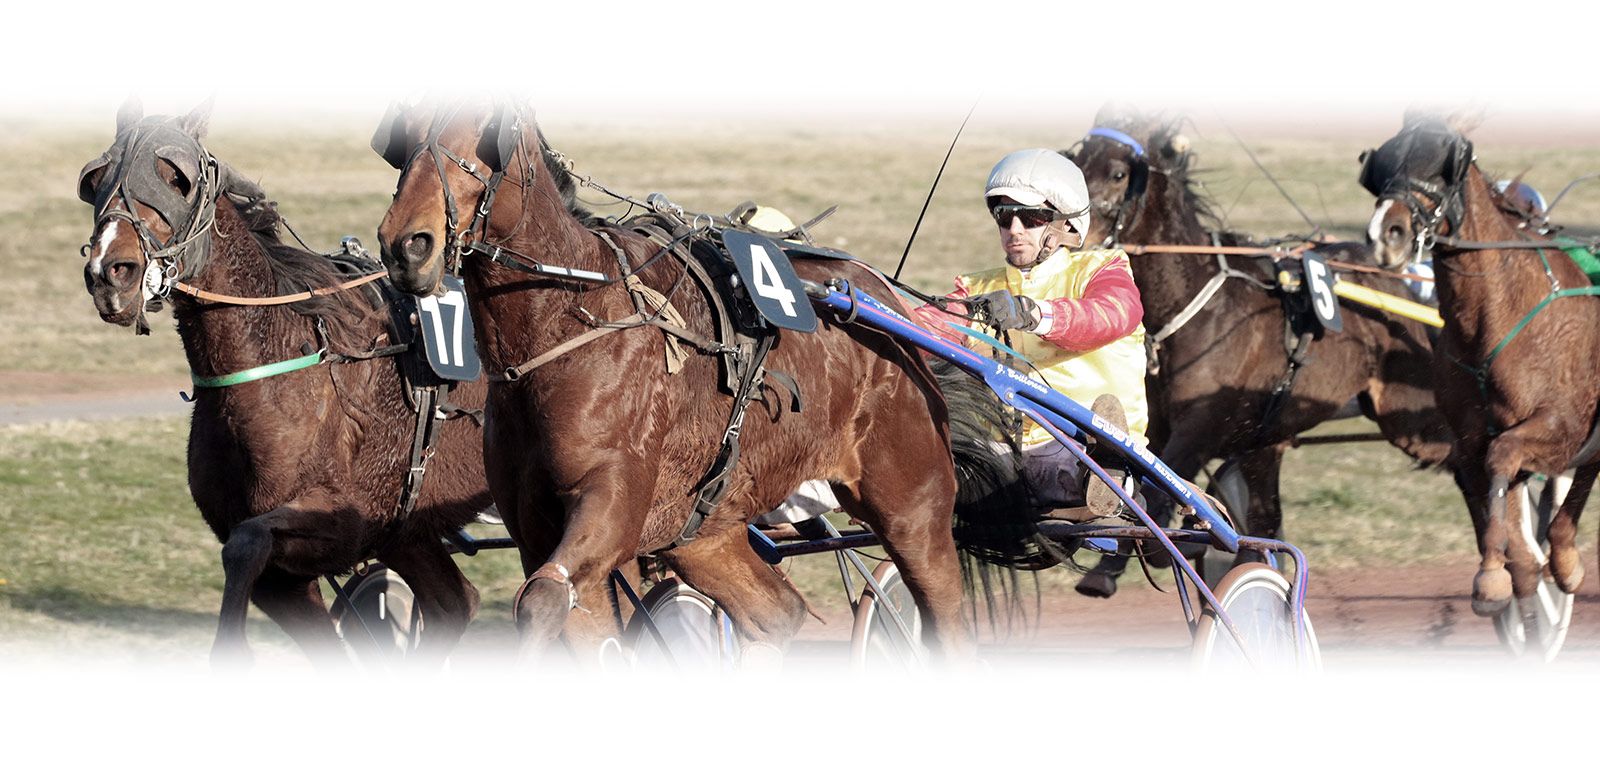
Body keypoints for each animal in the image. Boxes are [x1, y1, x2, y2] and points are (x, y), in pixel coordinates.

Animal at [79, 103, 492, 668]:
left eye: (176, 179)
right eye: (94, 180)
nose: (110, 271)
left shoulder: (346, 522)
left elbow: (247, 543)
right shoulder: (288, 578)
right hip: (411, 531)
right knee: (455, 602)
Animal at [371, 100, 1011, 662]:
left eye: (487, 125)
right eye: (408, 130)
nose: (409, 245)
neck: (570, 322)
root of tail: (885, 304)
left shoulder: (610, 504)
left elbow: (543, 602)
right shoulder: (538, 531)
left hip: (911, 504)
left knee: (942, 609)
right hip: (705, 531)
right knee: (775, 614)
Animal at [1062, 107, 1465, 598]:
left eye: (1118, 173)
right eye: (1076, 158)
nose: (1071, 235)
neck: (1196, 305)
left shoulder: (1198, 431)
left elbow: (1160, 498)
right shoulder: (1187, 429)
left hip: (1413, 415)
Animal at [1363, 113, 1600, 614]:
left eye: (1444, 163)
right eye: (1388, 159)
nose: (1386, 234)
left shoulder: (1564, 424)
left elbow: (1505, 454)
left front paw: (1505, 570)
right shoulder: (1471, 433)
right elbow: (1490, 477)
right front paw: (1509, 570)